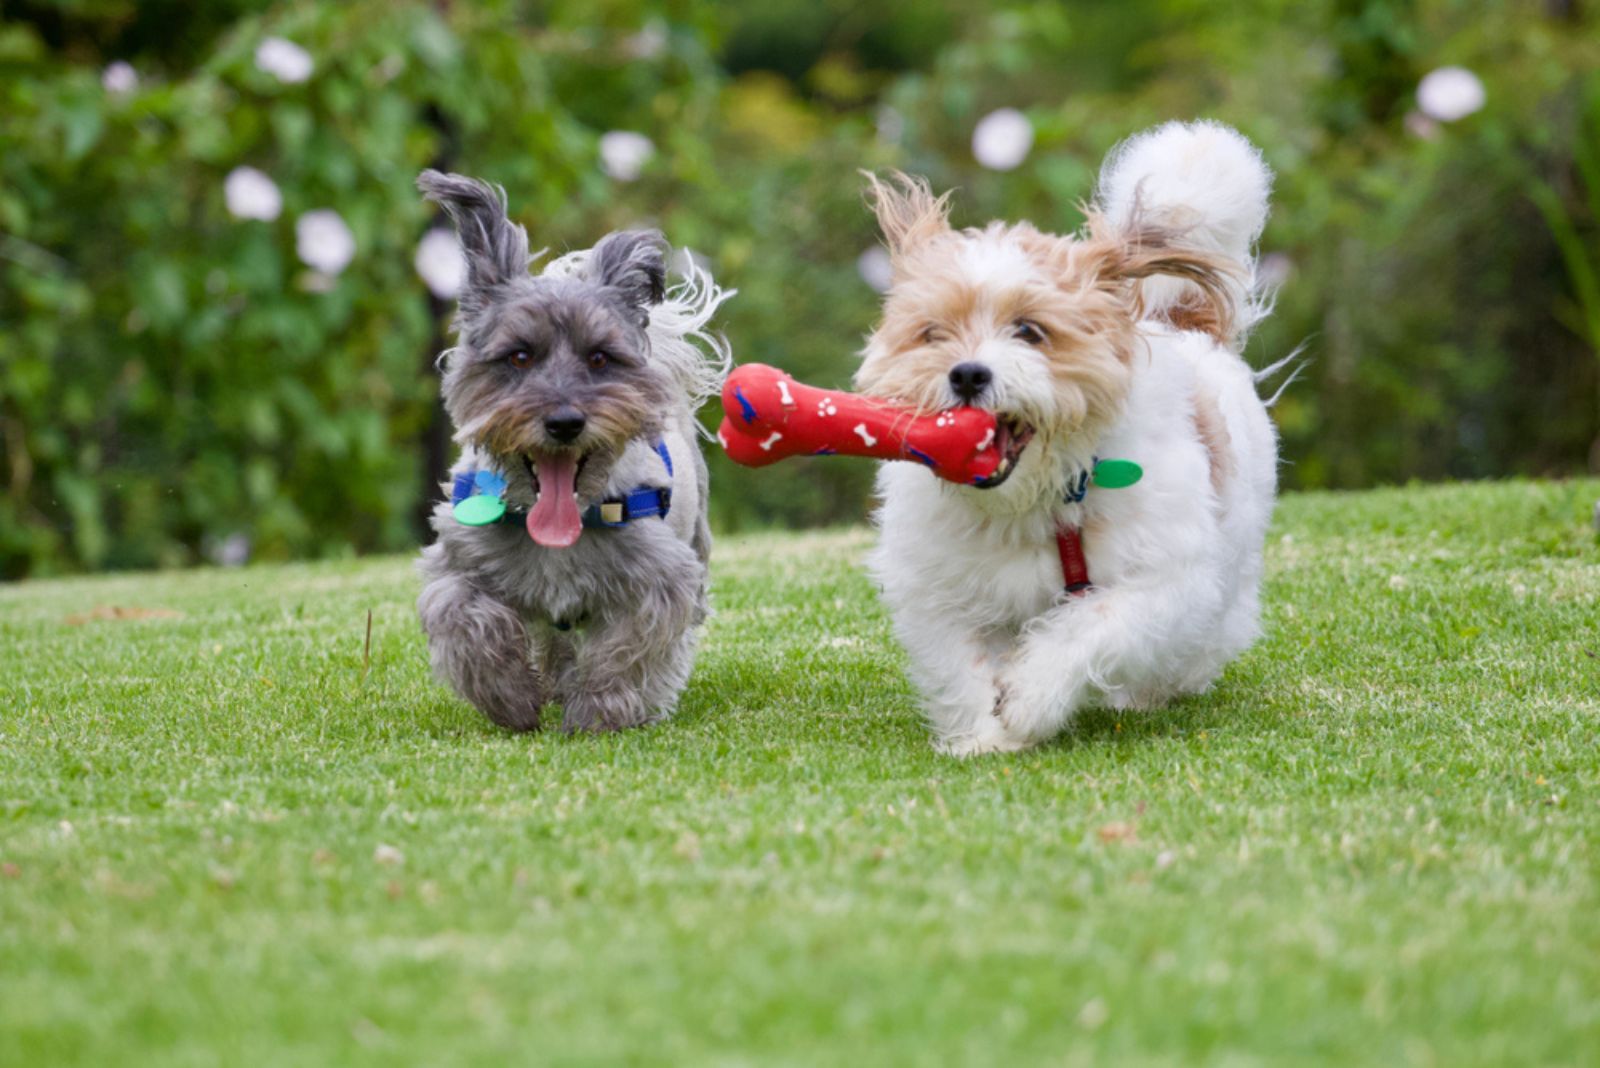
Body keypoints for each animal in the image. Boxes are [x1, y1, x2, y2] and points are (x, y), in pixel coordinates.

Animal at [416, 171, 732, 729]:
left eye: (600, 357)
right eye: (519, 356)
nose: (565, 422)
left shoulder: (664, 578)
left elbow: (632, 644)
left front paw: (599, 710)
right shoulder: (456, 564)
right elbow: (464, 618)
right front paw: (510, 695)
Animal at [857, 120, 1280, 754]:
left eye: (1030, 331)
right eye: (933, 334)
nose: (968, 373)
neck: (1037, 503)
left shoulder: (1165, 578)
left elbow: (1088, 629)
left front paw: (1031, 703)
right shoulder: (938, 584)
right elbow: (958, 664)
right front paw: (981, 736)